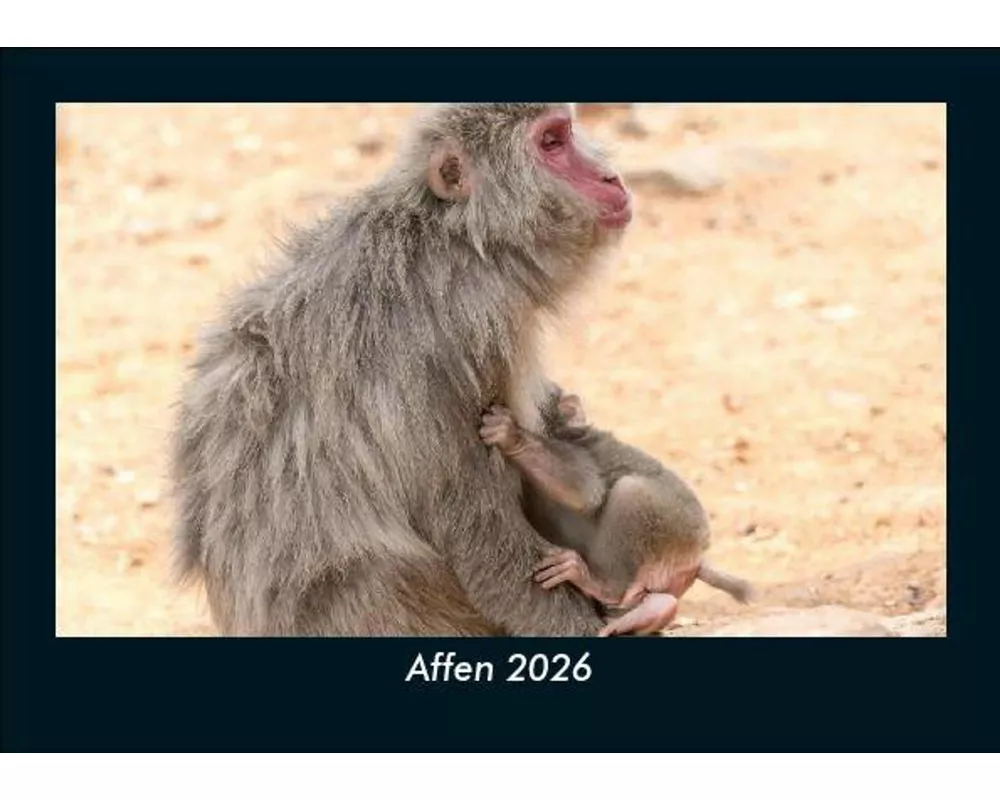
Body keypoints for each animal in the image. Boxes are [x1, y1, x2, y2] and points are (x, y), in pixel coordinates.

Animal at [170, 103, 635, 636]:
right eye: (552, 143)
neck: (460, 238)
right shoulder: (471, 331)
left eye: (568, 130)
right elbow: (475, 529)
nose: (610, 176)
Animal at [479, 386, 754, 636]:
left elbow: (585, 490)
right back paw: (653, 610)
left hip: (678, 528)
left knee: (631, 492)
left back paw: (601, 585)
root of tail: (697, 558)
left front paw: (511, 436)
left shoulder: (578, 449)